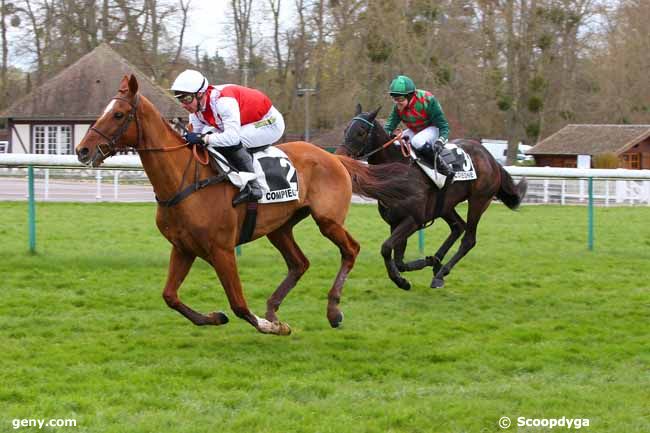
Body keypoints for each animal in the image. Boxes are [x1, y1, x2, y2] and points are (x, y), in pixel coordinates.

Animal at [74, 76, 416, 336]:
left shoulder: (222, 249)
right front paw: (215, 317)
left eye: (118, 114)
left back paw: (332, 310)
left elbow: (238, 304)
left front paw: (269, 327)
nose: (82, 150)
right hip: (280, 226)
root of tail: (335, 157)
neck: (184, 181)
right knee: (300, 263)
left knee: (350, 250)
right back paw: (274, 309)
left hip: (328, 220)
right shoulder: (183, 247)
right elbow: (170, 296)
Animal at [334, 106, 528, 290]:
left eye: (361, 132)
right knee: (458, 227)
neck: (397, 171)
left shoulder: (413, 219)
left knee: (468, 239)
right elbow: (399, 260)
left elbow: (386, 248)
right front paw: (426, 263)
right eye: (345, 130)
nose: (339, 156)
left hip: (479, 201)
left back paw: (440, 273)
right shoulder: (395, 222)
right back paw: (437, 262)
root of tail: (491, 159)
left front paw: (401, 281)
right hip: (445, 206)